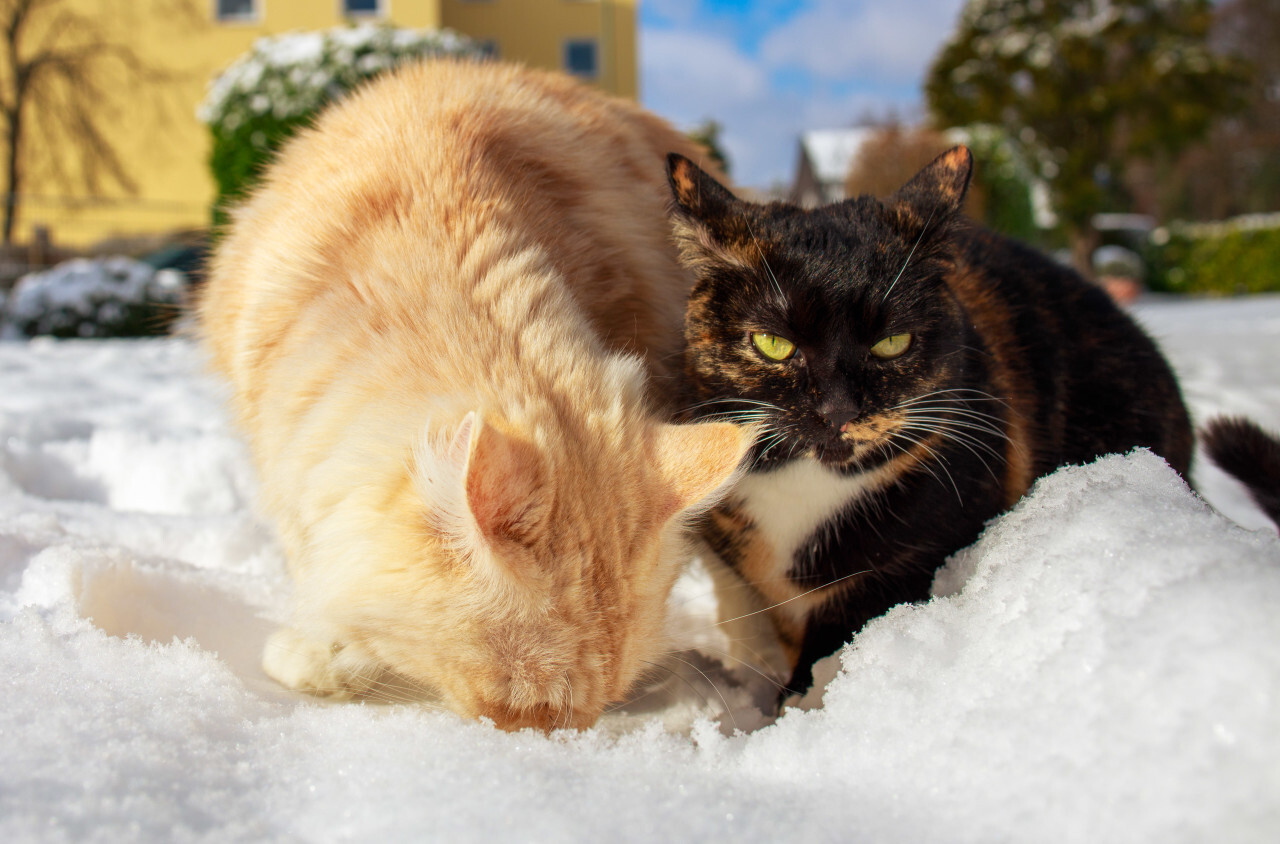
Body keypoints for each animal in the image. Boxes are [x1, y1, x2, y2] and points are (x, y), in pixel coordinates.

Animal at [665, 146, 1192, 701]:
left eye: (893, 343)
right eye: (772, 343)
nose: (838, 410)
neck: (808, 491)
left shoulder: (914, 556)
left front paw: (803, 701)